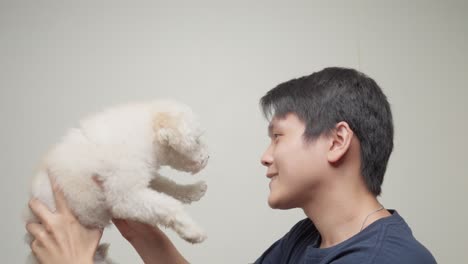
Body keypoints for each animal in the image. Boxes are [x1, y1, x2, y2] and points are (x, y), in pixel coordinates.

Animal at [23, 100, 210, 262]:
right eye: (197, 141)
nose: (208, 157)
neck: (147, 133)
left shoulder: (139, 175)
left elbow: (164, 184)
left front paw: (192, 190)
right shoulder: (124, 195)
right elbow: (168, 205)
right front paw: (192, 230)